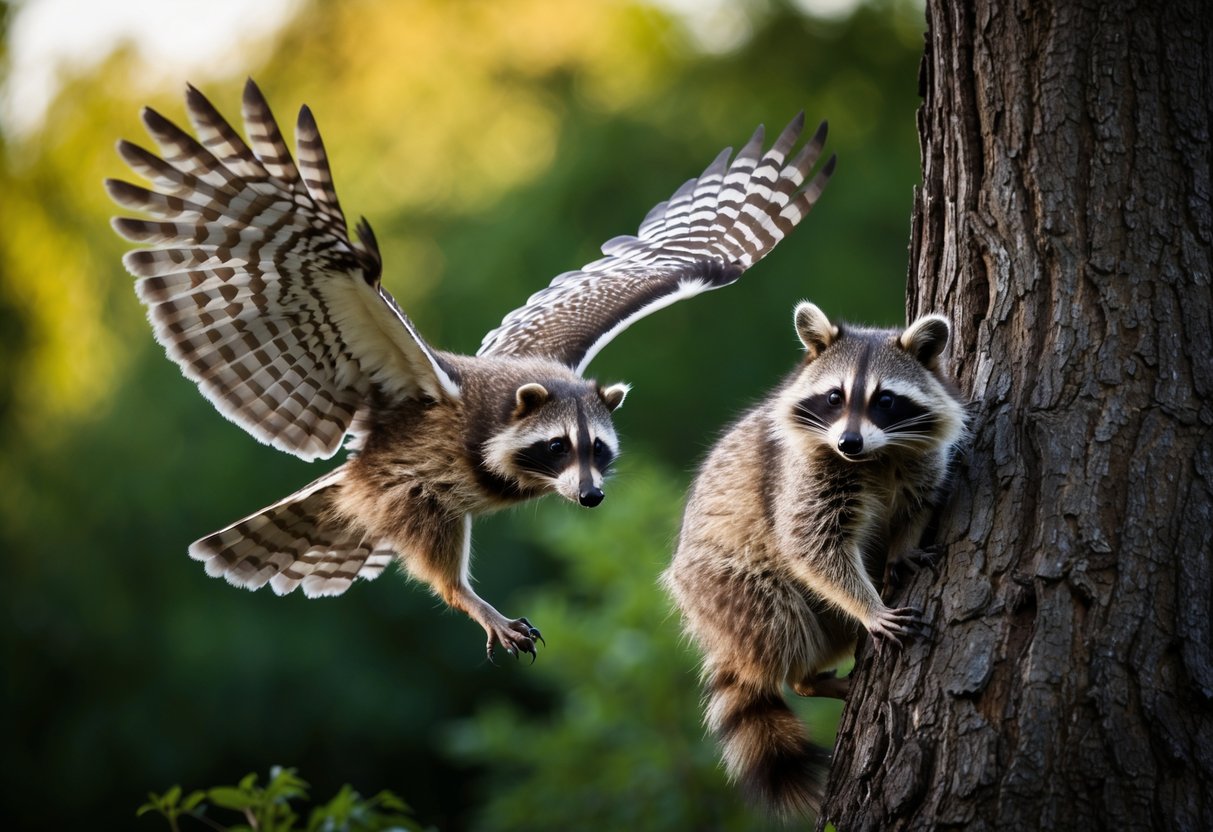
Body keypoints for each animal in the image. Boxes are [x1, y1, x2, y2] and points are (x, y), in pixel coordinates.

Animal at [662, 301, 966, 814]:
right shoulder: (803, 474)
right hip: (722, 586)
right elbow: (813, 544)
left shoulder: (919, 459)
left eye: (885, 400)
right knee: (779, 616)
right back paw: (801, 675)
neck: (875, 456)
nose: (849, 443)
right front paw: (870, 606)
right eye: (834, 397)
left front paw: (903, 545)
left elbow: (918, 503)